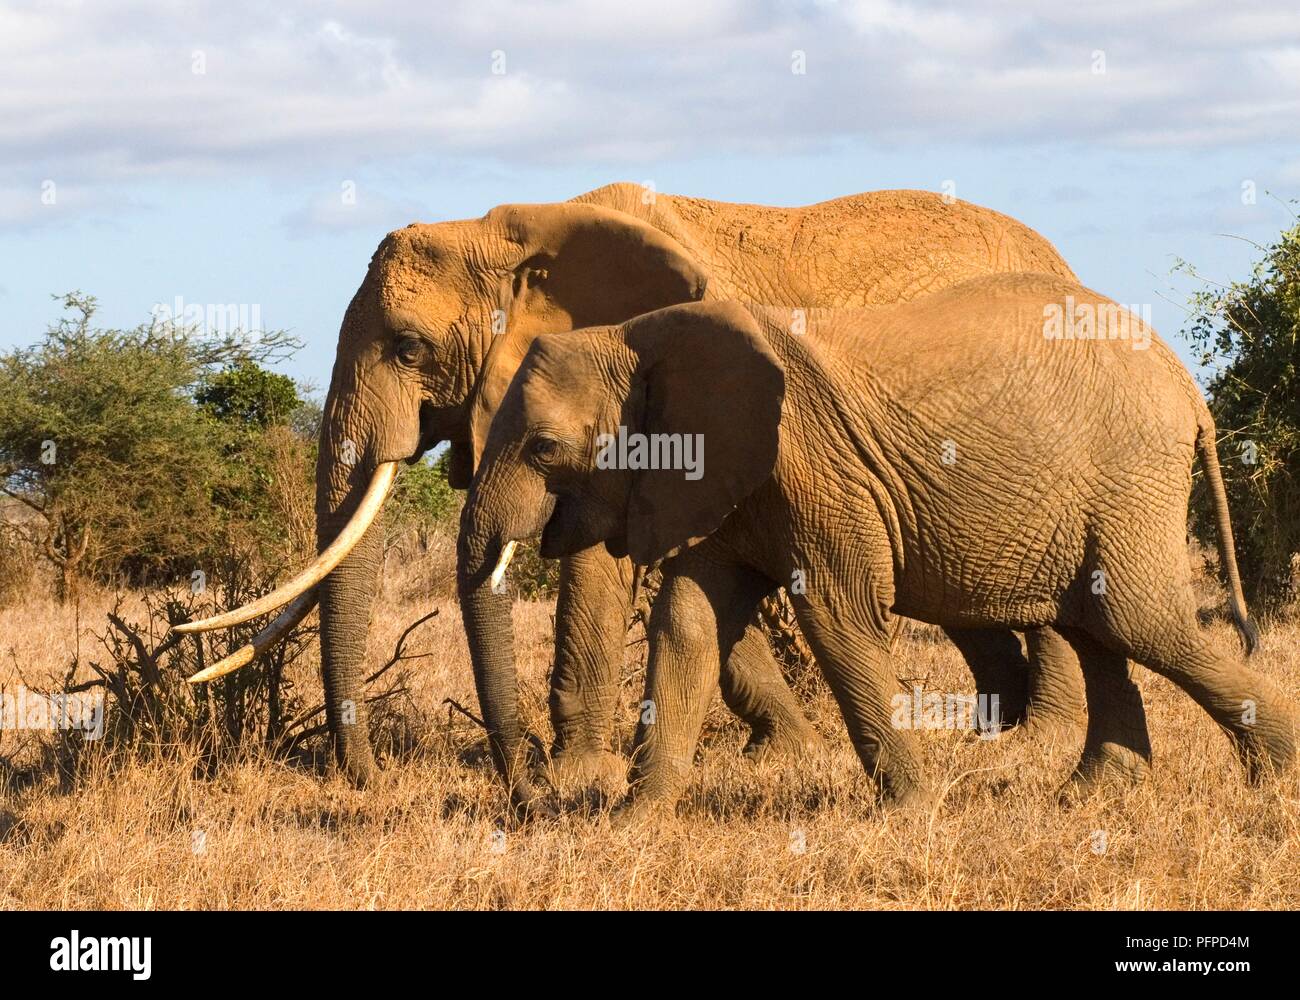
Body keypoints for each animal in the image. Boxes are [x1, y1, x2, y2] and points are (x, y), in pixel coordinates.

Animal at [175, 183, 1087, 802]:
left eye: (408, 347)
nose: (365, 781)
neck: (511, 234)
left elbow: (599, 565)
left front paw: (577, 771)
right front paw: (784, 748)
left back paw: (1033, 744)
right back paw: (998, 733)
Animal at [459, 281, 1295, 819]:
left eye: (543, 448)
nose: (535, 795)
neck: (638, 335)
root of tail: (1188, 388)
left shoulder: (816, 471)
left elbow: (838, 618)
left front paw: (910, 811)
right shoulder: (726, 480)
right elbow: (690, 622)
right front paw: (636, 821)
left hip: (1129, 473)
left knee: (1136, 621)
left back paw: (1276, 782)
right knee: (1098, 627)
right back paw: (1089, 797)